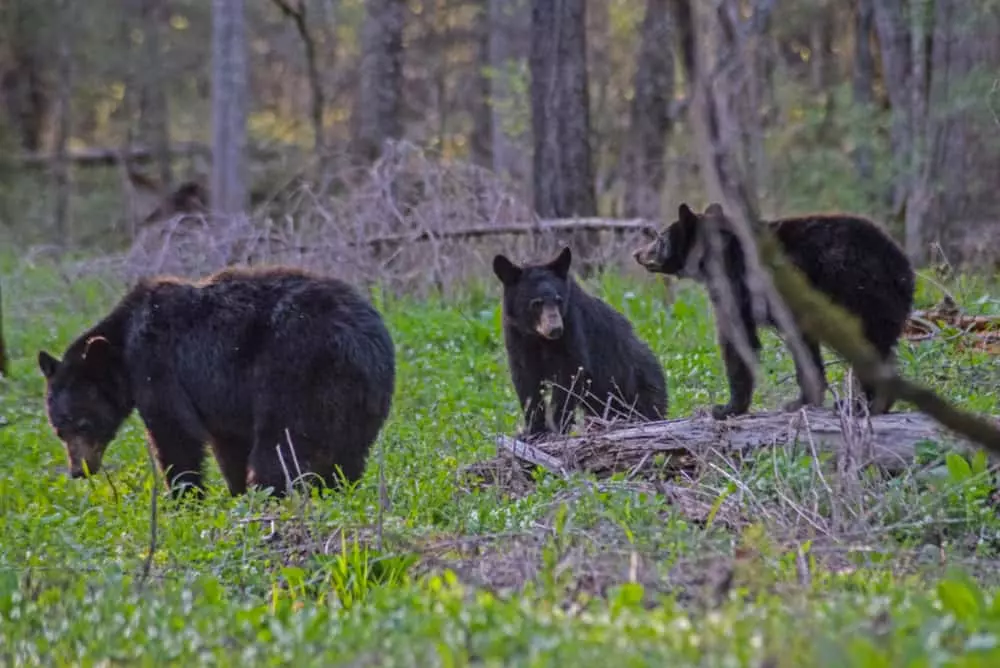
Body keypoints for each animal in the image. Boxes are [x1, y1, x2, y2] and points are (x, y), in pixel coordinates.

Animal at [39, 264, 398, 496]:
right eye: (59, 430)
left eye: (83, 423)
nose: (79, 470)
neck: (123, 345)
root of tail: (358, 342)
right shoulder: (221, 401)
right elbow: (229, 444)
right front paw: (235, 492)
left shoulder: (157, 365)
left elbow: (175, 434)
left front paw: (185, 498)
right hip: (361, 400)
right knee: (347, 454)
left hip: (295, 376)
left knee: (279, 447)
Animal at [494, 245, 668, 438]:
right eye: (536, 303)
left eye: (559, 300)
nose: (555, 329)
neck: (540, 338)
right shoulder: (517, 336)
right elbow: (526, 379)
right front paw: (533, 429)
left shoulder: (572, 327)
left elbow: (570, 374)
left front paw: (558, 426)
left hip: (638, 387)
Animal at [632, 201, 916, 420]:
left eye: (660, 238)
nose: (637, 254)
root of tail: (903, 269)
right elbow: (804, 348)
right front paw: (802, 400)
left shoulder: (737, 285)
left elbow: (737, 340)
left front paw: (727, 408)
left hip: (857, 293)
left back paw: (858, 405)